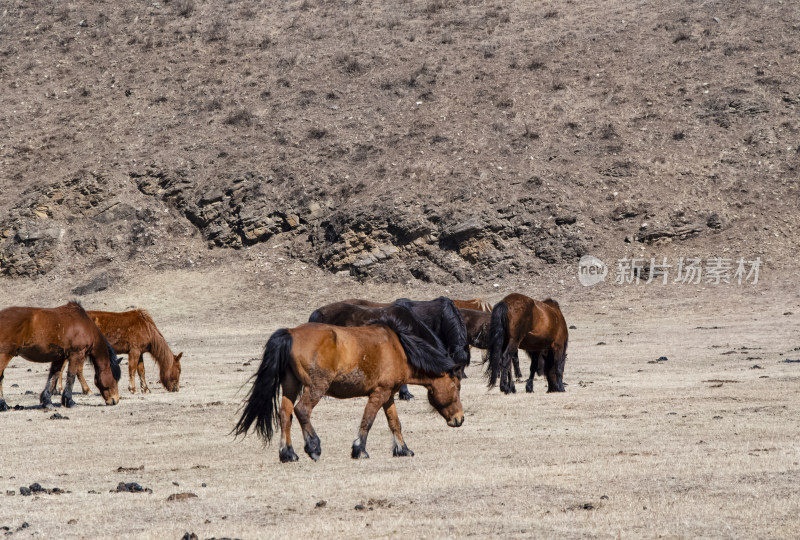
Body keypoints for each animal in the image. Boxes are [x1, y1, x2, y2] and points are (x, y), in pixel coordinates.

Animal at [55, 310, 183, 394]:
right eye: (179, 370)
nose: (176, 389)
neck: (147, 327)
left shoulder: (140, 352)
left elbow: (141, 370)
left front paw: (145, 388)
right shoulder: (134, 351)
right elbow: (132, 369)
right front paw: (132, 388)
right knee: (76, 370)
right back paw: (84, 390)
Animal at [234, 310, 466, 462]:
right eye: (457, 386)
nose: (460, 419)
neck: (399, 348)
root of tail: (291, 333)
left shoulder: (389, 395)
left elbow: (394, 423)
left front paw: (403, 449)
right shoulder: (379, 393)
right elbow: (367, 421)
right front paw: (359, 450)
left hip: (291, 386)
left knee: (285, 414)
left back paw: (288, 453)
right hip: (315, 388)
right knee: (302, 410)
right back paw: (313, 448)